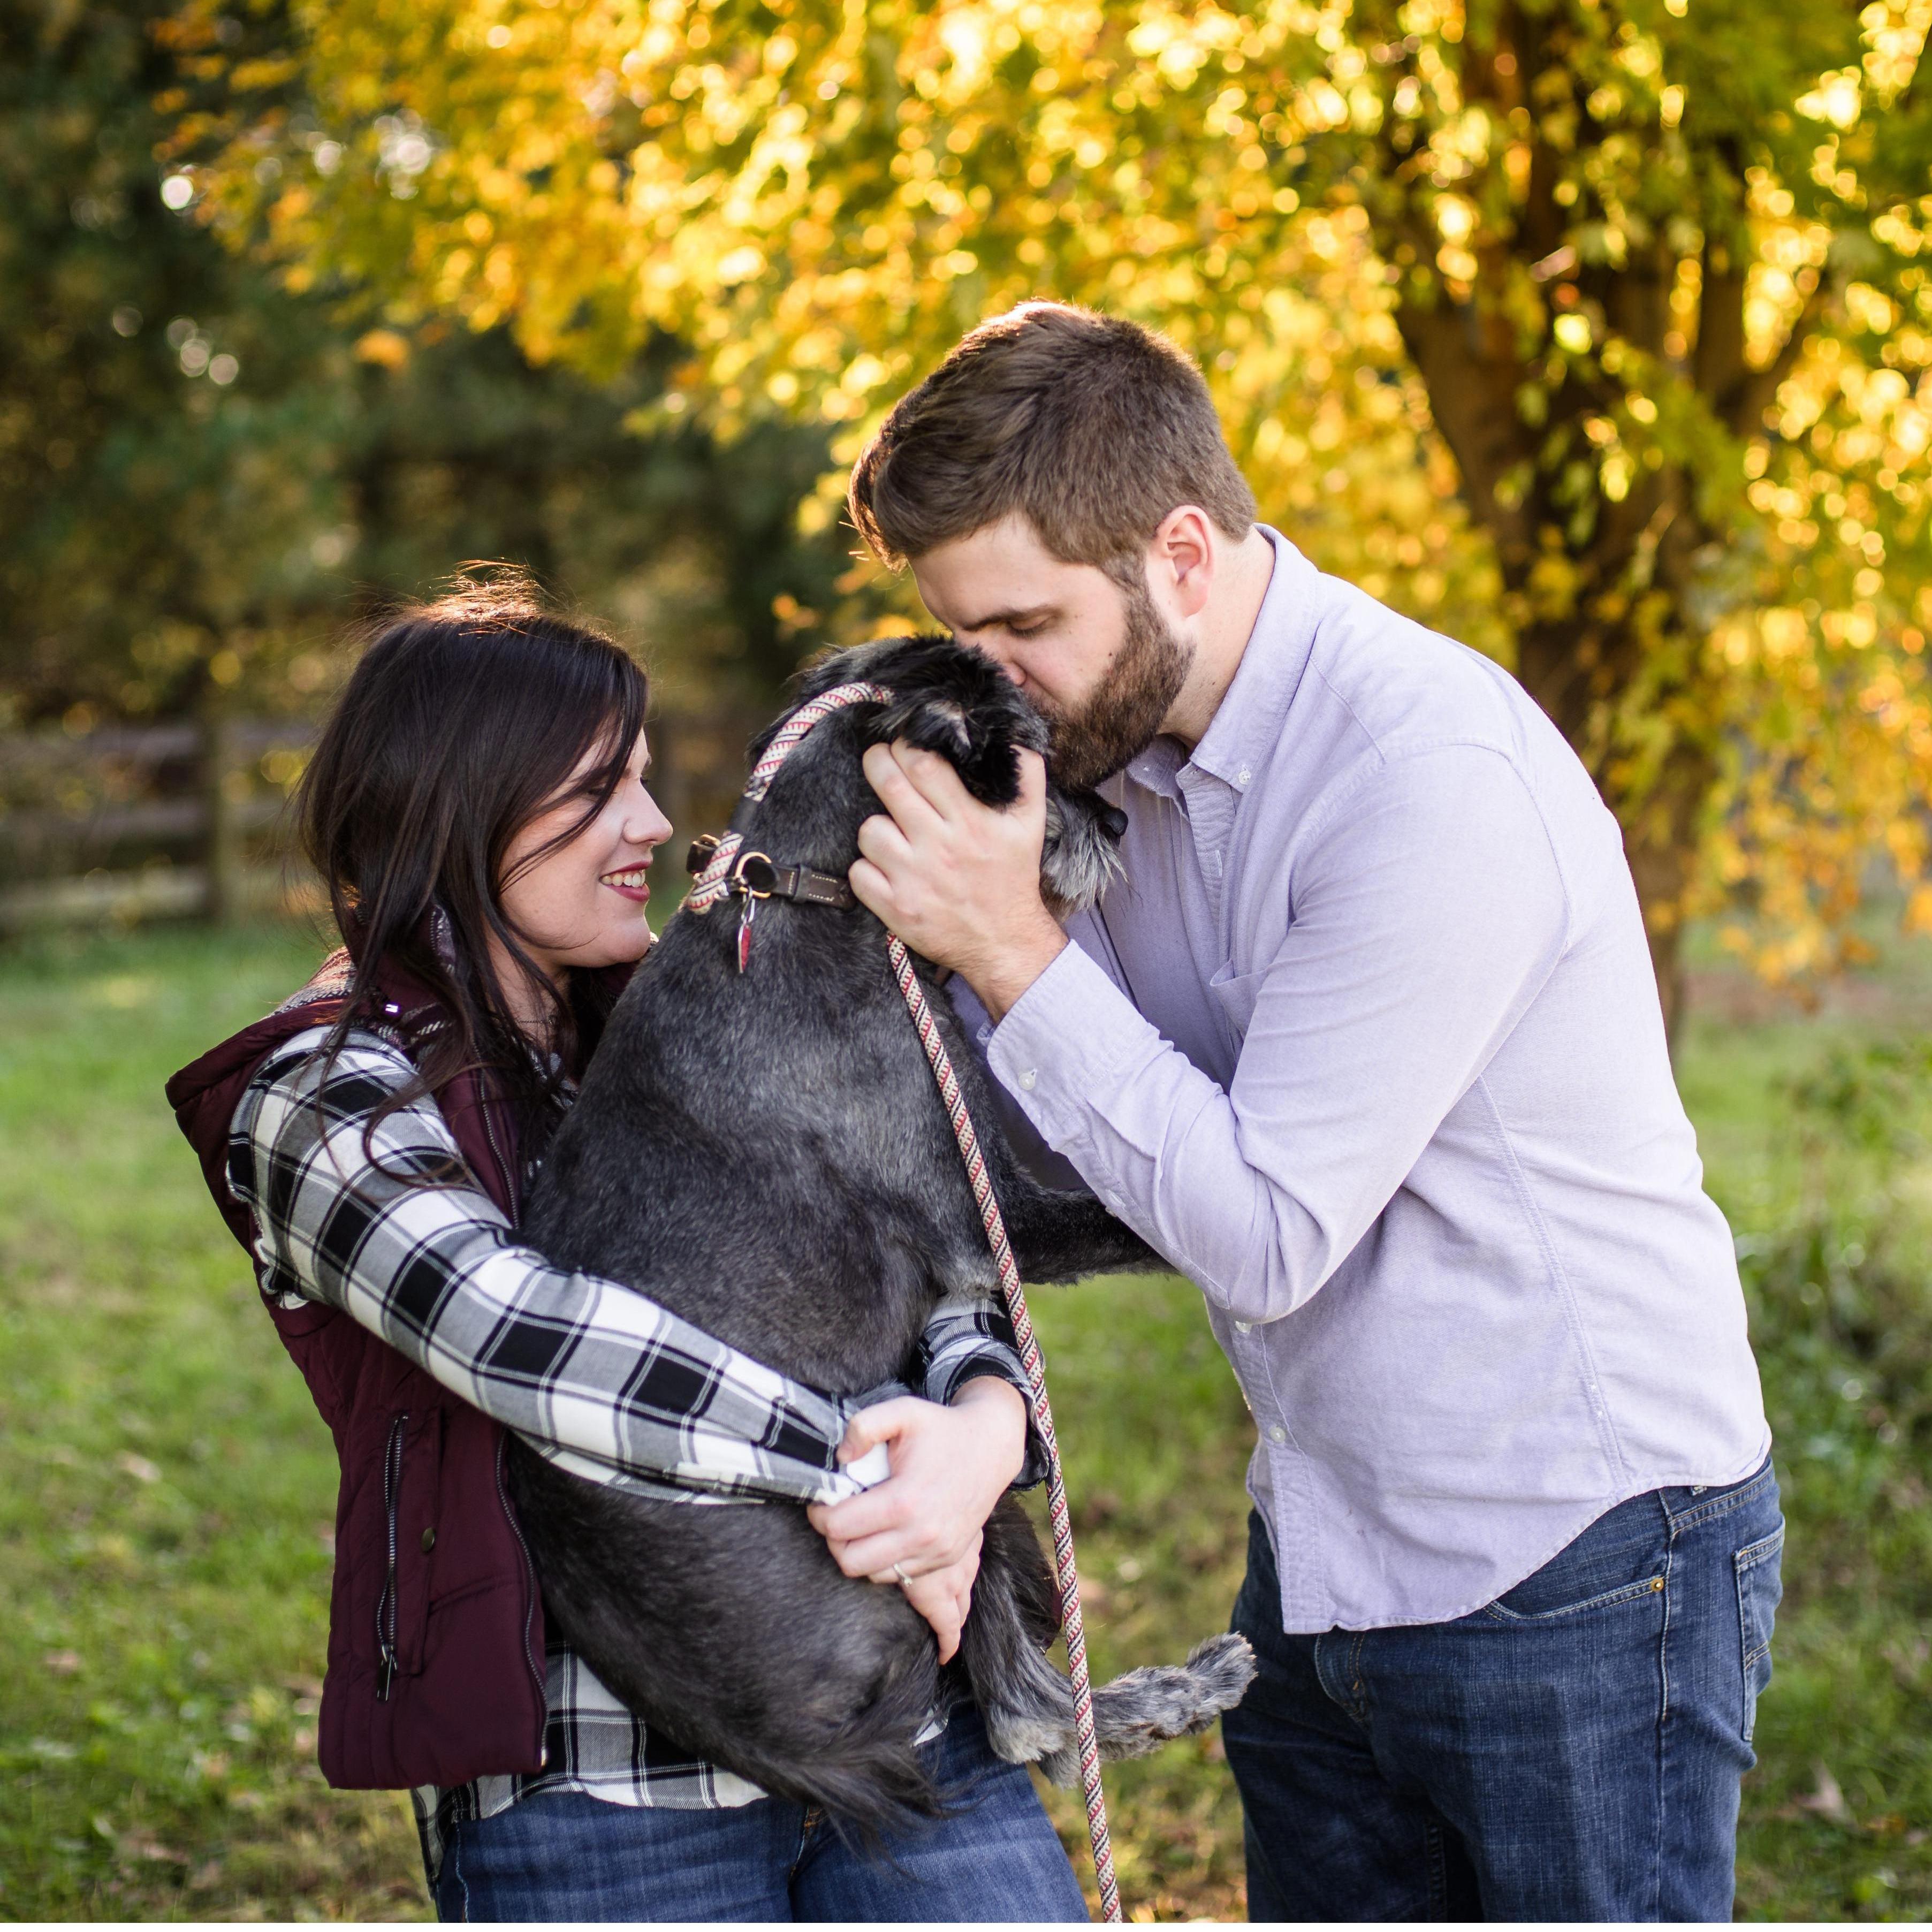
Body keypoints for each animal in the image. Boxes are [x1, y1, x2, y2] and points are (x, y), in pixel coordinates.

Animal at [507, 635, 1255, 1833]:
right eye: (1029, 755)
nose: (1113, 821)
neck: (813, 897)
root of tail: (760, 1740)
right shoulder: (995, 1220)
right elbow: (1140, 1219)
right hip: (898, 1465)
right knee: (1027, 1719)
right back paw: (1174, 1693)